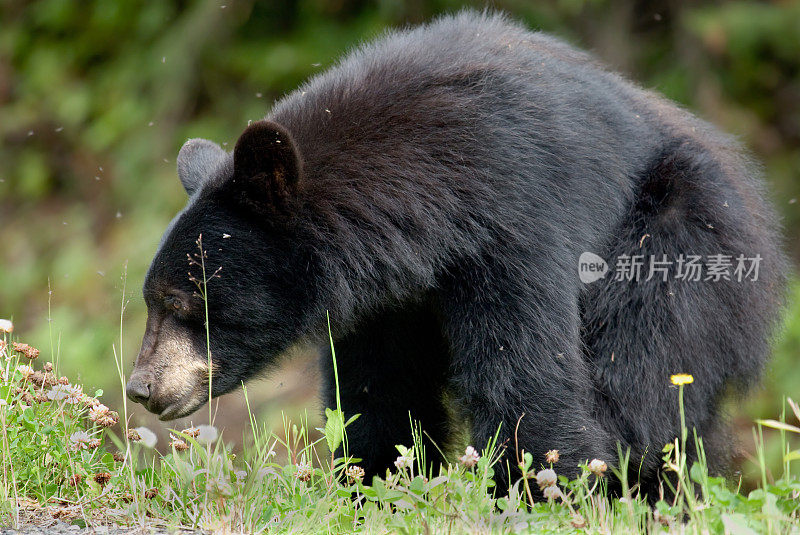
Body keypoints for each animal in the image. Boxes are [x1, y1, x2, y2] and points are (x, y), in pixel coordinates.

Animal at [128, 11, 784, 498]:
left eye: (183, 302)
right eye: (151, 301)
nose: (141, 387)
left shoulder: (514, 226)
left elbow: (527, 381)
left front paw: (535, 493)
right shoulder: (386, 300)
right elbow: (380, 392)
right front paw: (372, 485)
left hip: (679, 243)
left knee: (645, 384)